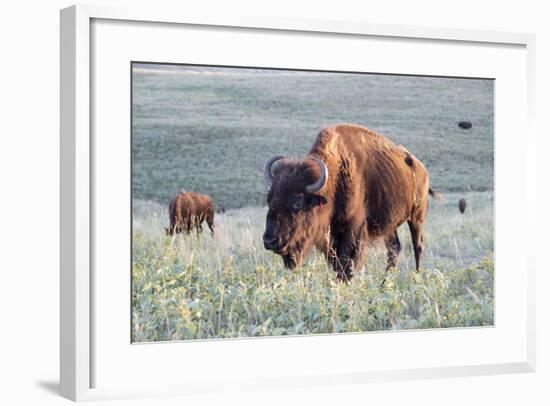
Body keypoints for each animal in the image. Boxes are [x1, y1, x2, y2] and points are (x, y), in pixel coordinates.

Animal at [264, 123, 444, 282]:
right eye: (269, 199)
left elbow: (346, 264)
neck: (335, 180)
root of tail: (422, 168)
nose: (269, 241)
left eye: (298, 203)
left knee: (417, 246)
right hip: (389, 225)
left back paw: (417, 277)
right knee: (394, 248)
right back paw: (384, 283)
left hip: (416, 217)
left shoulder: (353, 231)